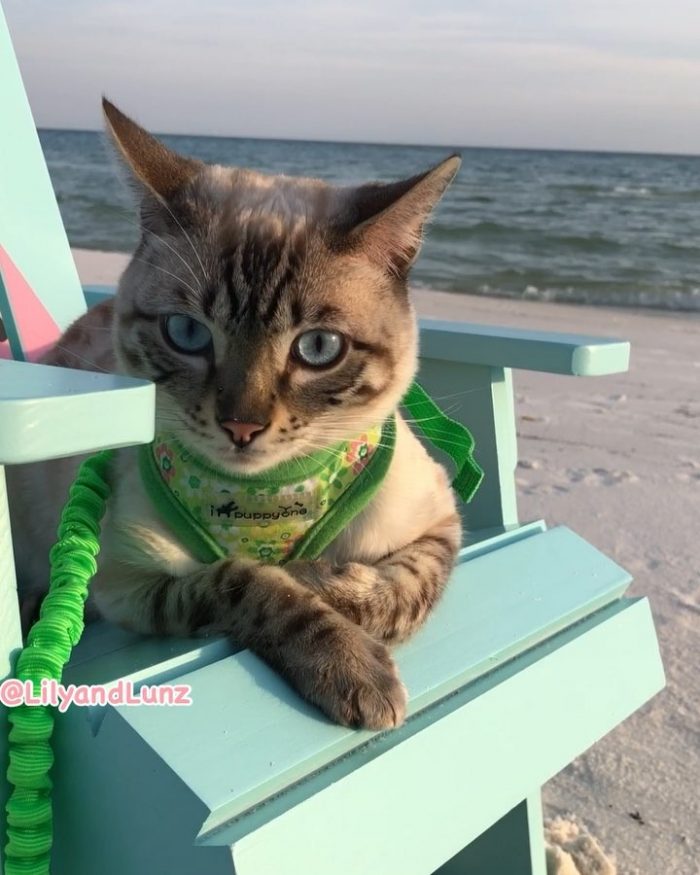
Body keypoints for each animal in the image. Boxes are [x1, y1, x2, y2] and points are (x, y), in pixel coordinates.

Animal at [7, 99, 462, 730]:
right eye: (187, 333)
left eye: (318, 348)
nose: (241, 426)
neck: (268, 496)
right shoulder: (130, 588)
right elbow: (250, 583)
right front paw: (352, 666)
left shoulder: (441, 522)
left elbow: (395, 592)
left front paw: (322, 580)